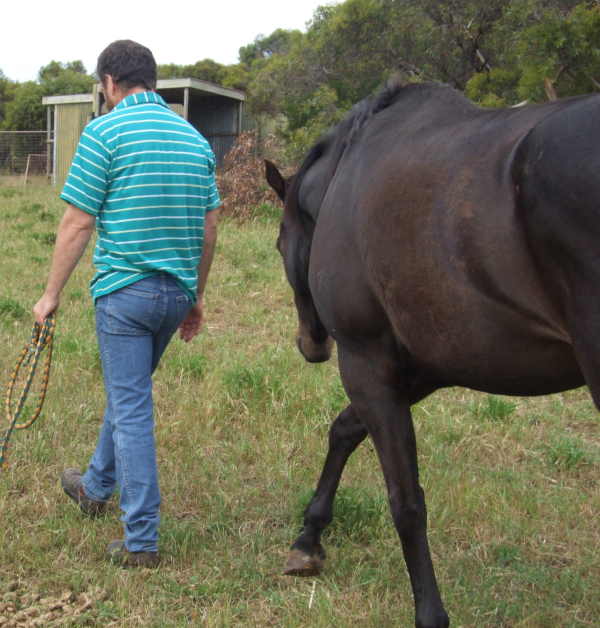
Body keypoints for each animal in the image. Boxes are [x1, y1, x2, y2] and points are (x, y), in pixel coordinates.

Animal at [266, 79, 600, 628]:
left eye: (278, 244)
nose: (310, 344)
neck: (346, 174)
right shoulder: (425, 366)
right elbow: (345, 430)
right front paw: (309, 538)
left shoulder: (365, 360)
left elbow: (406, 499)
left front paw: (429, 611)